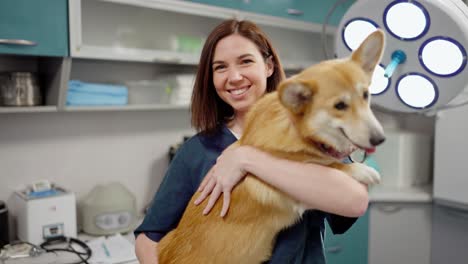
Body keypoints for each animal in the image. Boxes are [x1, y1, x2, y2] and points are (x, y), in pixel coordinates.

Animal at [156, 29, 384, 262]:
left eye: (366, 95)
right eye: (339, 106)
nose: (379, 138)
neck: (293, 127)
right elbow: (328, 164)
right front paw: (362, 170)